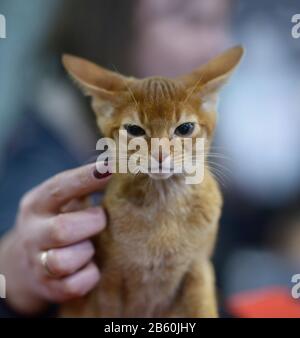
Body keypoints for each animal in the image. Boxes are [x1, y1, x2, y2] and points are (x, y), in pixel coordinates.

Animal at [60, 45, 244, 316]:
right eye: (134, 130)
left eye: (185, 128)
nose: (159, 154)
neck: (163, 206)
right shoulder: (108, 279)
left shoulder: (199, 271)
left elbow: (203, 308)